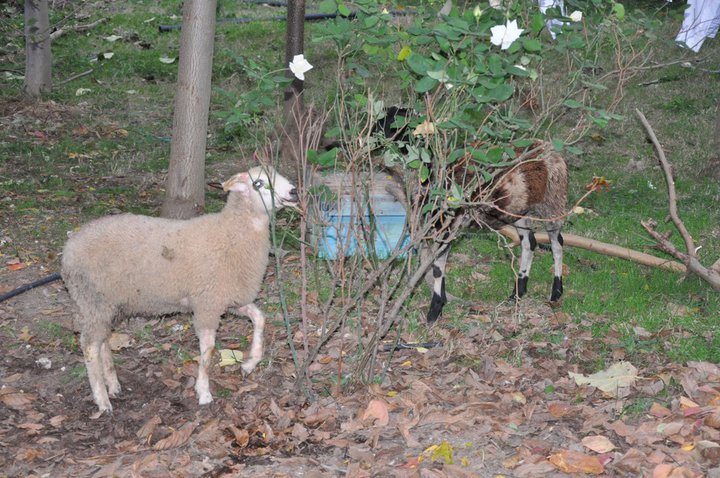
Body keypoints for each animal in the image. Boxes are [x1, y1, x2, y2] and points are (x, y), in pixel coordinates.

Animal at [61, 166, 298, 412]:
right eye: (258, 184)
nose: (294, 191)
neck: (232, 232)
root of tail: (68, 248)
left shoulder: (228, 298)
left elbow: (260, 318)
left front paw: (250, 363)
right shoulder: (207, 303)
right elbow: (208, 350)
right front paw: (203, 391)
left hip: (108, 304)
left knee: (102, 342)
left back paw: (113, 385)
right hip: (92, 299)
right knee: (89, 347)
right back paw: (102, 400)